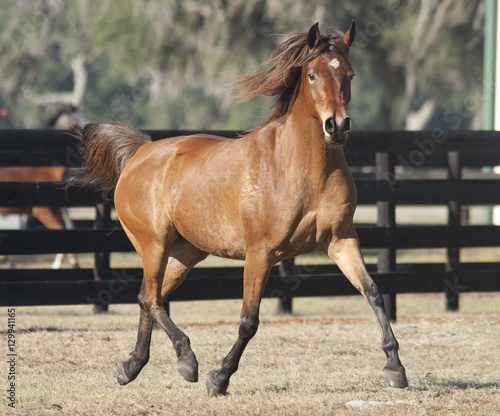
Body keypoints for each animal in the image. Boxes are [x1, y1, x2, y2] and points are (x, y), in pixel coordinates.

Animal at [0, 106, 83, 270]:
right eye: (75, 124)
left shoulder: (56, 210)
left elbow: (64, 229)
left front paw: (64, 262)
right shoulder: (43, 211)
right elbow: (60, 230)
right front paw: (65, 263)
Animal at [68, 22, 408, 394]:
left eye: (350, 74)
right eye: (312, 75)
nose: (337, 126)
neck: (302, 168)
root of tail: (141, 152)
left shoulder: (341, 240)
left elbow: (374, 293)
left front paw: (395, 367)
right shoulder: (260, 252)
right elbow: (249, 320)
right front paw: (219, 377)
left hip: (186, 252)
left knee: (148, 297)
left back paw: (131, 366)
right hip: (153, 244)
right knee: (151, 299)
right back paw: (186, 360)